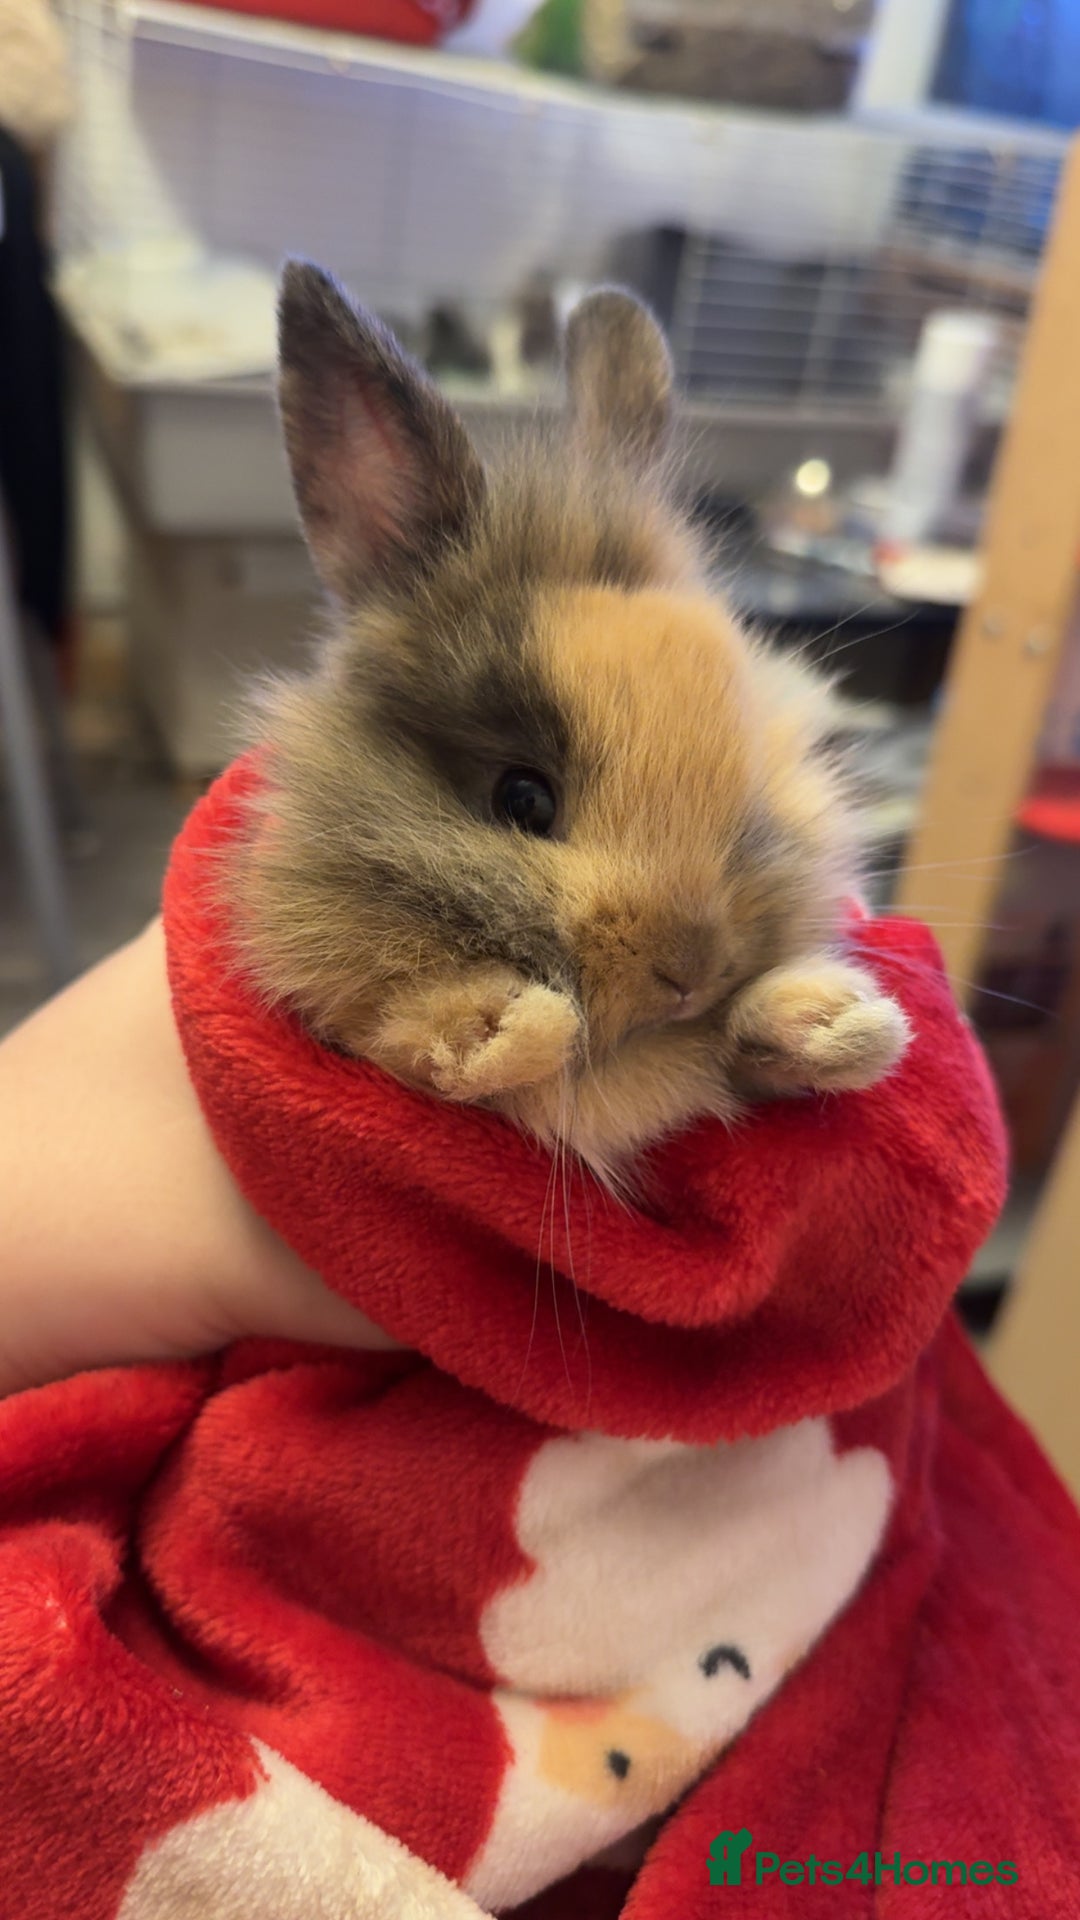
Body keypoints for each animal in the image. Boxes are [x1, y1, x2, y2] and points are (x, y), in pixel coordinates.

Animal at [224, 261, 909, 1188]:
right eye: (523, 799)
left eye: (748, 784)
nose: (690, 972)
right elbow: (420, 1037)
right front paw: (501, 1027)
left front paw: (840, 1023)